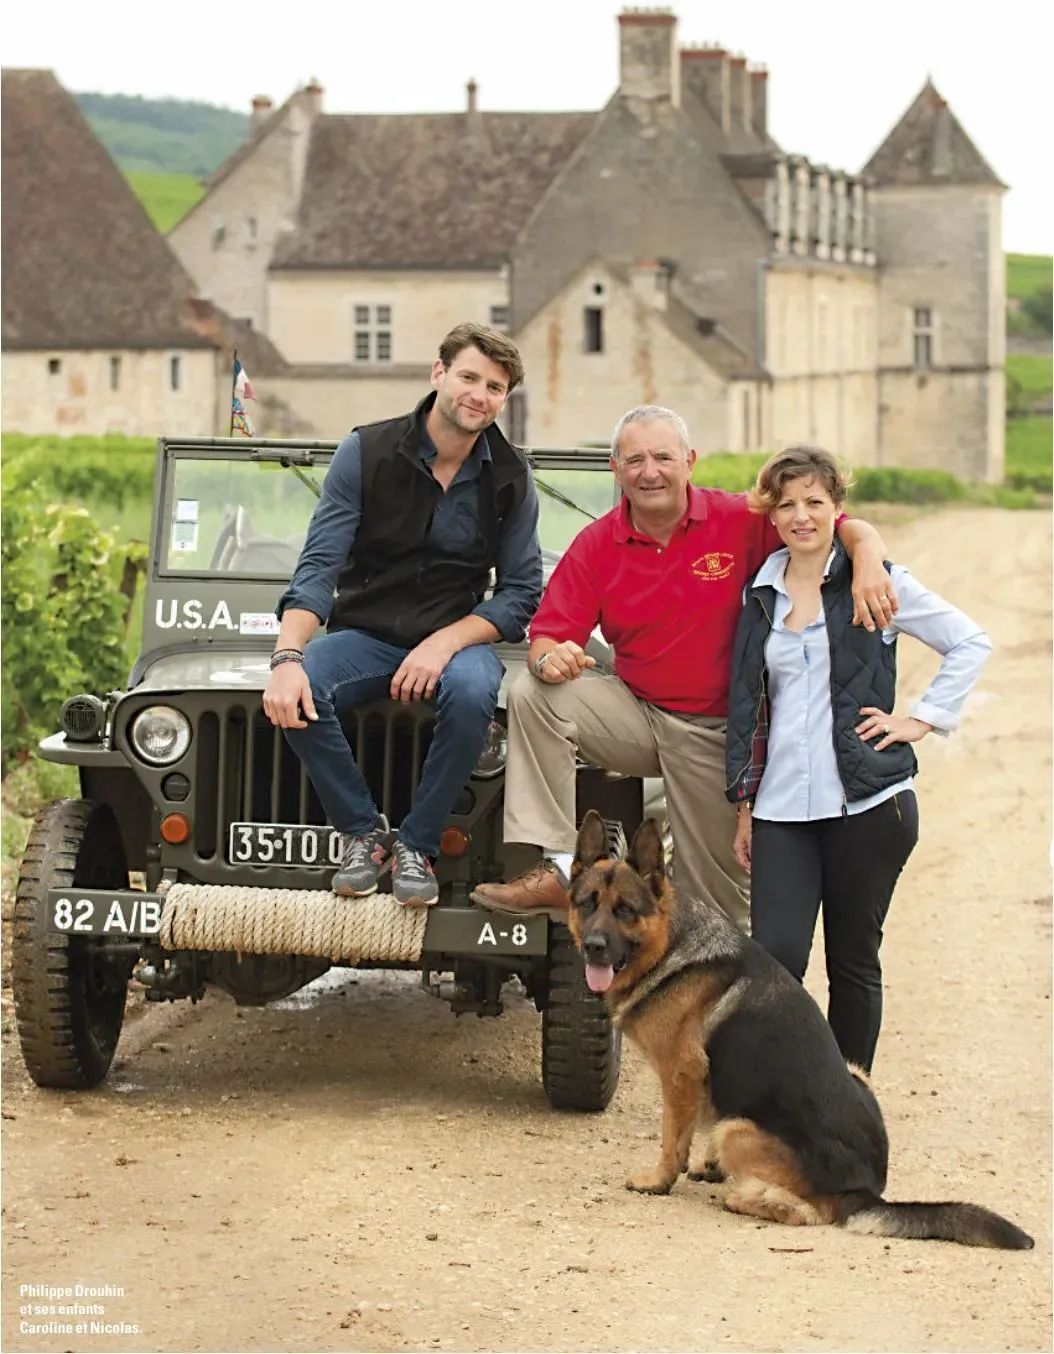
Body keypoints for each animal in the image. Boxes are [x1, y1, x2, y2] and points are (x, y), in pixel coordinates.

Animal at [567, 810, 1033, 1250]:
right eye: (588, 903)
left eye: (625, 910)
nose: (593, 947)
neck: (670, 944)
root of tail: (867, 1192)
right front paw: (709, 1166)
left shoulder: (681, 1073)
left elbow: (671, 1139)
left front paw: (659, 1180)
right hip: (853, 1071)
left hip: (741, 1131)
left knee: (812, 1212)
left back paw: (751, 1198)